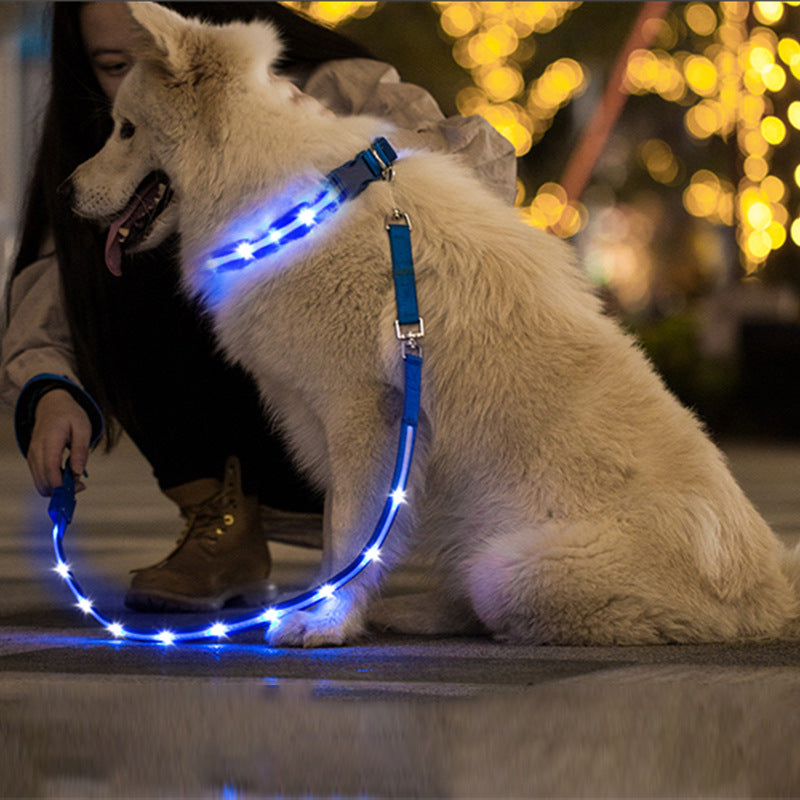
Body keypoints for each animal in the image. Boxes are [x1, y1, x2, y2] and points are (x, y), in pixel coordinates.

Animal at [70, 1, 800, 648]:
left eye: (125, 129)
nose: (65, 192)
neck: (285, 197)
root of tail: (773, 589)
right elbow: (343, 536)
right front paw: (332, 614)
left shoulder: (364, 414)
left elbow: (350, 536)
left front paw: (325, 623)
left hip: (515, 565)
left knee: (507, 607)